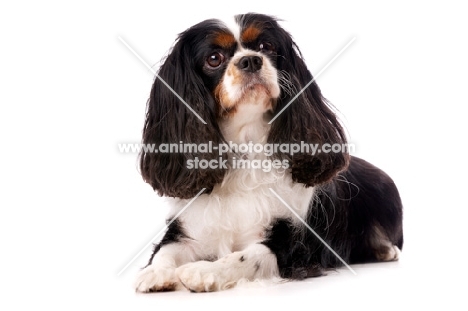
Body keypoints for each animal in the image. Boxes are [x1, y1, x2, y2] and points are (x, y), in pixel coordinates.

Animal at [134, 13, 402, 294]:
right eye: (214, 58)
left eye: (266, 47)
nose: (251, 60)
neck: (245, 146)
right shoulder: (187, 230)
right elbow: (165, 250)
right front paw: (154, 273)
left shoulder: (294, 247)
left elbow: (246, 257)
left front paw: (204, 271)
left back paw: (385, 249)